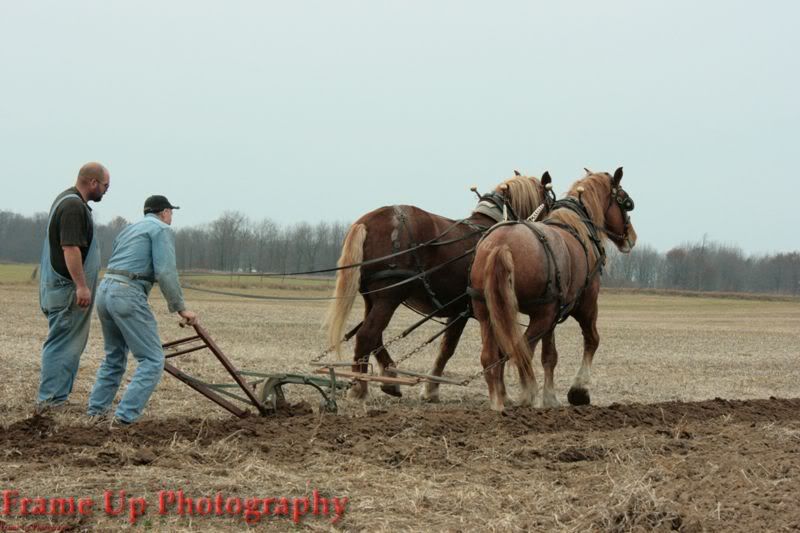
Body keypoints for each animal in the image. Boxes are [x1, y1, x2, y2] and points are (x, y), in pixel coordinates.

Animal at [322, 171, 552, 400]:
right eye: (549, 199)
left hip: (373, 297)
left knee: (374, 337)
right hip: (389, 296)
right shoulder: (472, 309)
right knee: (367, 335)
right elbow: (459, 347)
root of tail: (367, 222)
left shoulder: (458, 309)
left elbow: (445, 348)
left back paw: (388, 378)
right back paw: (359, 386)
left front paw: (431, 387)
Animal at [468, 166, 636, 412]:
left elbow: (550, 356)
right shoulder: (585, 305)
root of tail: (501, 244)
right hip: (543, 314)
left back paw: (498, 401)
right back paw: (527, 394)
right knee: (521, 349)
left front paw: (550, 398)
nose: (632, 237)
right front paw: (578, 391)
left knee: (492, 355)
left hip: (487, 312)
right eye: (625, 203)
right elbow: (591, 340)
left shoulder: (554, 314)